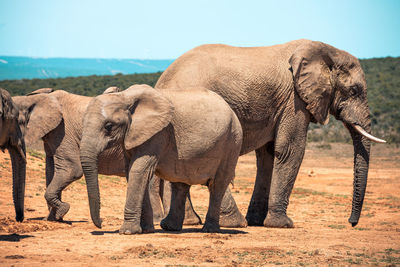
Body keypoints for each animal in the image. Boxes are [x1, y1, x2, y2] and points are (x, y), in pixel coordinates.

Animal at [78, 85, 241, 233]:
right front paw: (147, 230)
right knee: (180, 184)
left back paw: (209, 229)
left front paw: (128, 232)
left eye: (109, 126)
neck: (125, 96)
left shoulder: (158, 133)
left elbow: (139, 170)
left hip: (232, 141)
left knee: (217, 184)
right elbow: (131, 171)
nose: (101, 224)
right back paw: (170, 227)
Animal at [155, 39, 386, 228]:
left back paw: (188, 222)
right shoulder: (294, 100)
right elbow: (290, 150)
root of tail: (162, 81)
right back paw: (234, 223)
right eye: (354, 91)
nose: (351, 222)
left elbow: (268, 156)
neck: (326, 50)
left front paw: (258, 221)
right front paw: (283, 224)